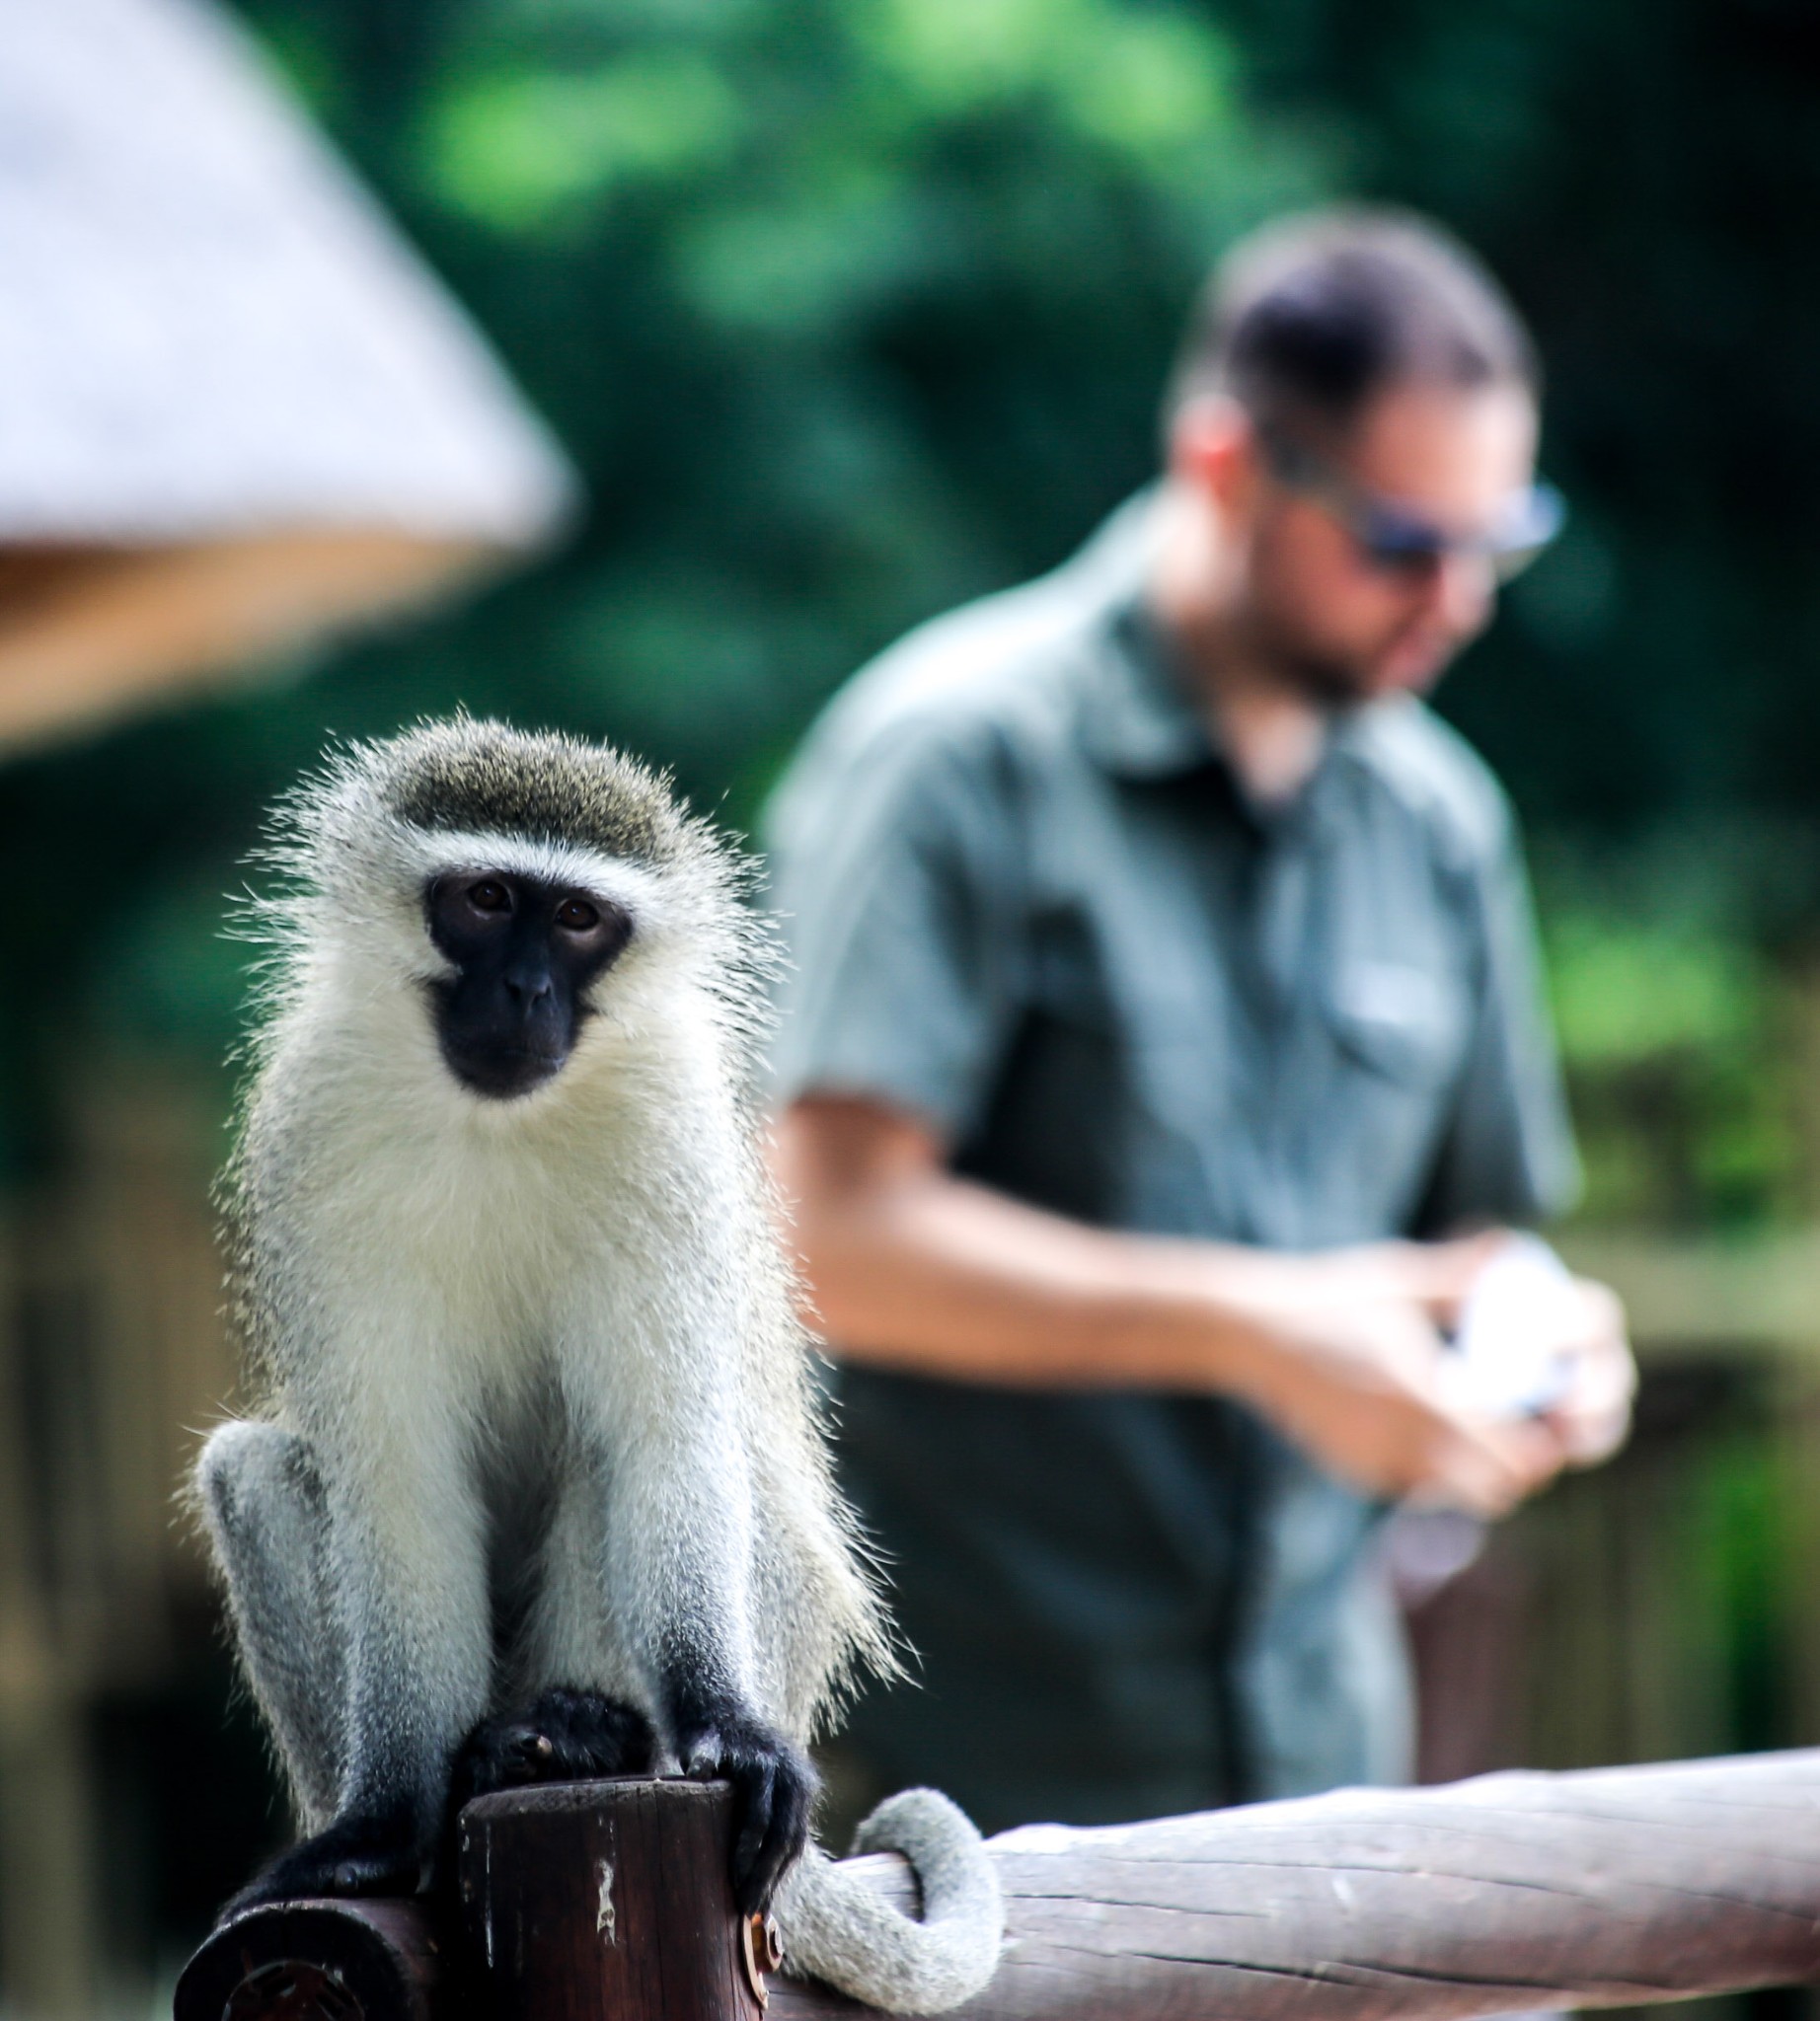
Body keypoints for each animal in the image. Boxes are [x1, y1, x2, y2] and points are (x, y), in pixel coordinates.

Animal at [194, 719, 1011, 2012]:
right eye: (485, 899)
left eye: (579, 920)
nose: (526, 990)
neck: (491, 1122)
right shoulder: (310, 1133)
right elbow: (394, 1486)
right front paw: (380, 1824)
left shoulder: (667, 1127)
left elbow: (664, 1440)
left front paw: (724, 1728)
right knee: (249, 1467)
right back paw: (466, 1781)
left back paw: (582, 1733)